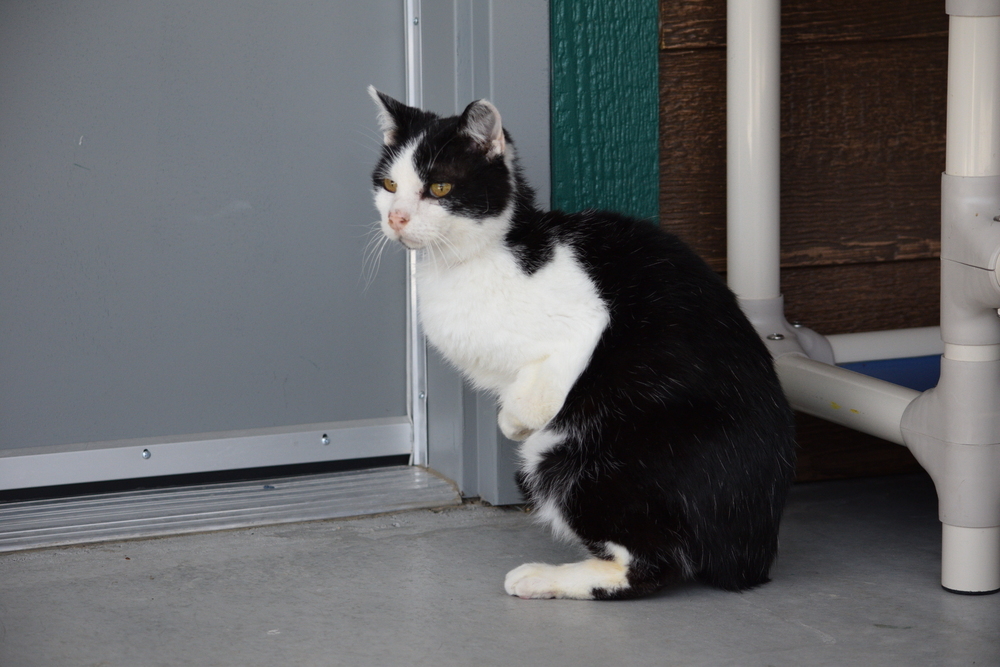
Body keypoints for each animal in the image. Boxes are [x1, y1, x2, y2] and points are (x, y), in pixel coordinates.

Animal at [368, 86, 796, 604]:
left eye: (440, 189)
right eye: (390, 185)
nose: (396, 218)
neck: (475, 260)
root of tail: (752, 553)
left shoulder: (586, 323)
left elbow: (534, 396)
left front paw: (512, 420)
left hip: (572, 456)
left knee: (655, 564)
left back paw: (544, 577)